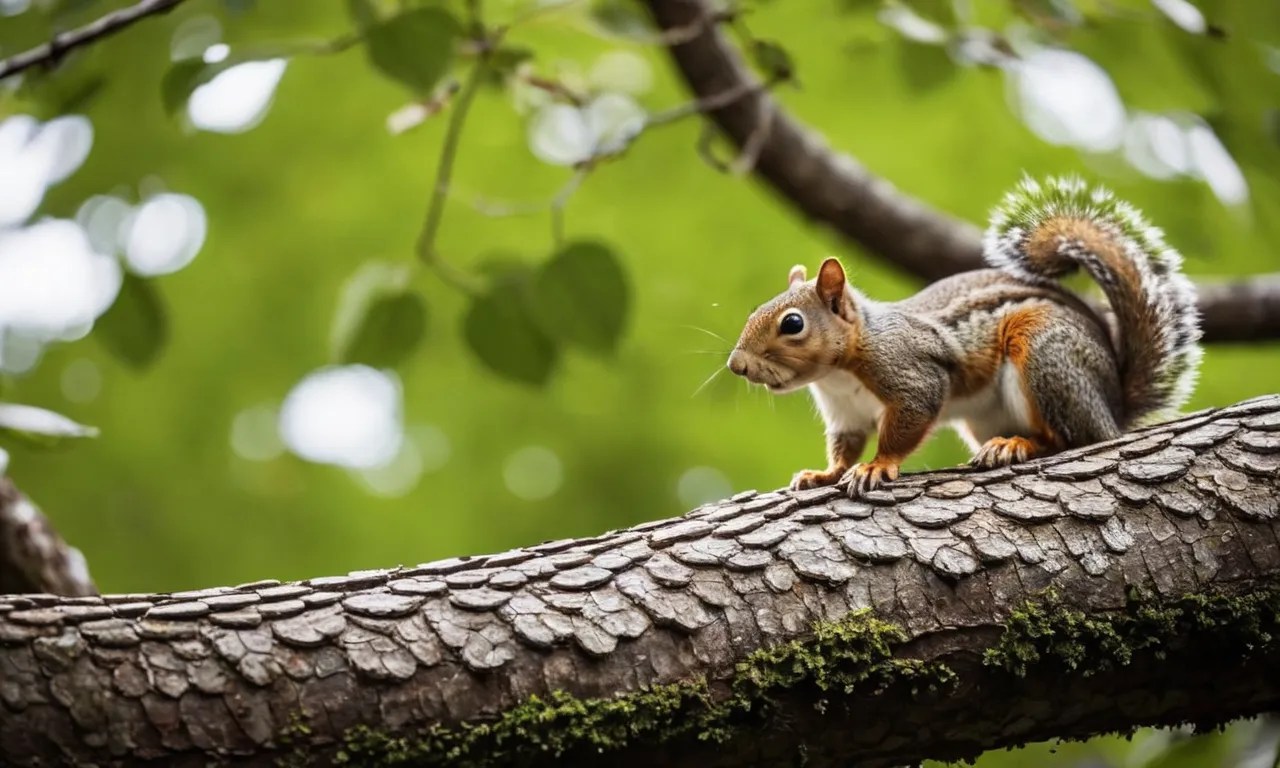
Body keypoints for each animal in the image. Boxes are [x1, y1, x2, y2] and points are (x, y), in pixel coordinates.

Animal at [726, 176, 1203, 497]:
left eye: (792, 324)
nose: (737, 365)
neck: (838, 374)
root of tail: (1114, 404)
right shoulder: (846, 415)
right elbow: (844, 448)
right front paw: (822, 474)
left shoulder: (913, 373)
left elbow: (904, 426)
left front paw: (877, 466)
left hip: (1046, 356)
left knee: (1073, 439)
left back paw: (1015, 446)